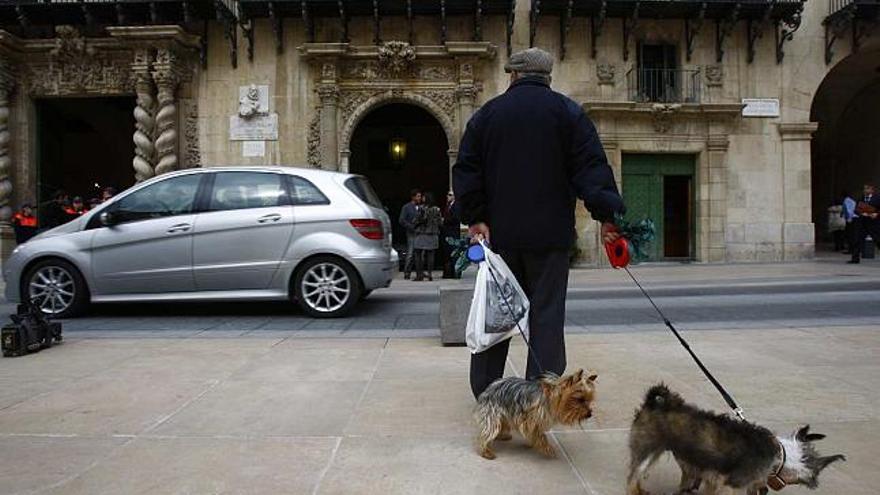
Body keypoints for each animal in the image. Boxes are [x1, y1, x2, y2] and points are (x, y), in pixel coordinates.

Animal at [624, 388, 844, 495]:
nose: (816, 484)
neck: (779, 457)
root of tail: (655, 402)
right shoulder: (730, 485)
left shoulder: (713, 481)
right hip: (647, 447)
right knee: (633, 477)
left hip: (655, 450)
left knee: (638, 474)